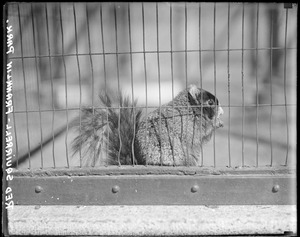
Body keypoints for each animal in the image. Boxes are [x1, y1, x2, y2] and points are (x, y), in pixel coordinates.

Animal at [71, 84, 224, 167]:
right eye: (210, 102)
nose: (221, 109)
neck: (190, 108)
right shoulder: (190, 126)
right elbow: (204, 131)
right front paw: (217, 122)